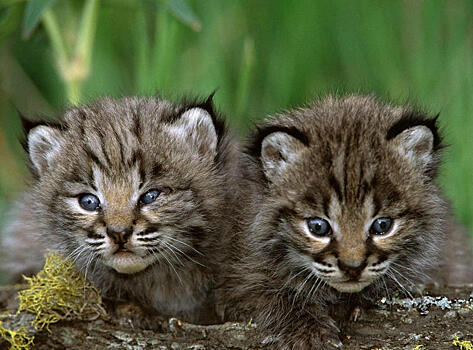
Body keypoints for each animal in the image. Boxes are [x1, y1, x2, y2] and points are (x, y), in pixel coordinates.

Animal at [221, 94, 464, 348]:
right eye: (318, 227)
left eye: (382, 226)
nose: (352, 268)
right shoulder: (235, 276)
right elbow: (269, 292)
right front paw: (309, 333)